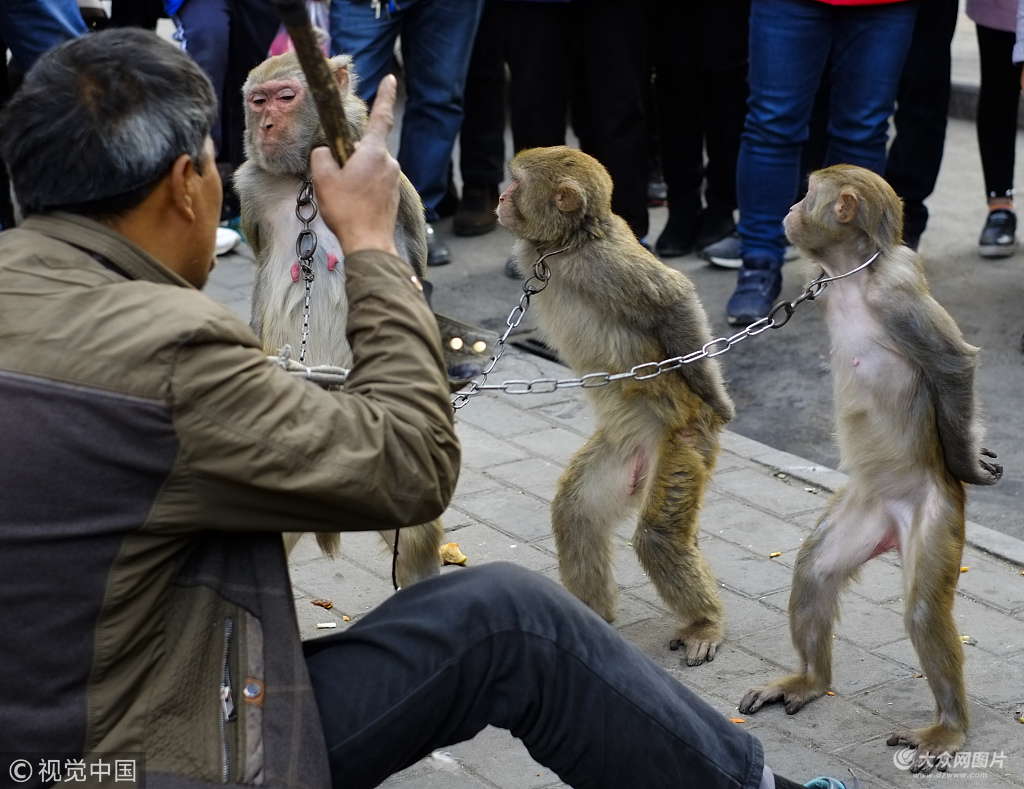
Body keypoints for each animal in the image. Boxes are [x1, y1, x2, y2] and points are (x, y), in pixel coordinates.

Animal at [235, 50, 444, 585]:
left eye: (286, 97)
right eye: (257, 101)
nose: (265, 126)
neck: (306, 176)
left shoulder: (394, 185)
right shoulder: (250, 191)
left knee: (415, 542)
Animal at [495, 146, 737, 667]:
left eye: (516, 183)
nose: (500, 198)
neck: (567, 245)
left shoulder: (605, 264)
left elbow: (674, 299)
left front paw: (716, 398)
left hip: (683, 445)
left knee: (658, 537)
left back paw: (706, 622)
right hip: (622, 453)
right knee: (576, 514)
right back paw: (591, 615)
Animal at [741, 163, 1003, 773]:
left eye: (807, 194)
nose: (789, 208)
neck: (853, 277)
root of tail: (891, 524)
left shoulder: (898, 291)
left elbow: (954, 364)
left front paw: (968, 464)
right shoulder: (820, 281)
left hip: (934, 511)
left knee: (924, 612)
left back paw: (949, 727)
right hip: (862, 510)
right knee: (815, 571)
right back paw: (811, 680)